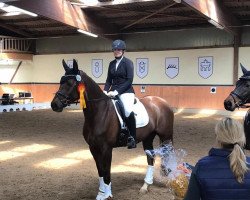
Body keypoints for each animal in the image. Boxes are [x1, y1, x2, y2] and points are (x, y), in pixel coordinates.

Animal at [49, 59, 173, 198]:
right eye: (61, 82)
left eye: (70, 83)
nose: (54, 104)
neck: (99, 113)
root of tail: (162, 102)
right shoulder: (93, 148)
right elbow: (100, 171)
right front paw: (101, 193)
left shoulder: (106, 148)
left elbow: (106, 172)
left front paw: (107, 195)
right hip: (148, 138)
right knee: (150, 158)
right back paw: (145, 186)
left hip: (166, 136)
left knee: (168, 155)